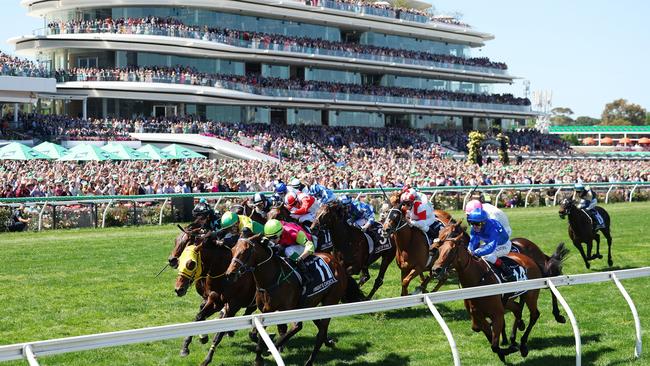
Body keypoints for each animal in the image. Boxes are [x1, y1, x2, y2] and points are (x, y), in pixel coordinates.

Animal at [225, 232, 362, 366]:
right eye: (233, 250)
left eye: (245, 251)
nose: (230, 274)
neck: (272, 279)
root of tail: (336, 263)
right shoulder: (266, 311)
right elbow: (255, 333)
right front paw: (259, 357)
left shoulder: (288, 310)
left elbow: (295, 327)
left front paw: (270, 350)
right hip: (312, 304)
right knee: (319, 326)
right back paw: (328, 342)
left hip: (330, 301)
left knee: (321, 332)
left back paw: (310, 361)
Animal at [430, 220, 548, 364]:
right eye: (440, 249)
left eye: (451, 250)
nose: (435, 269)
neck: (477, 281)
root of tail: (530, 259)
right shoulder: (479, 316)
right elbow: (488, 338)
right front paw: (505, 351)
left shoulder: (497, 314)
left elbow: (494, 344)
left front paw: (509, 349)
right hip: (509, 300)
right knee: (517, 308)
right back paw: (517, 332)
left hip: (531, 294)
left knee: (534, 315)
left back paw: (523, 345)